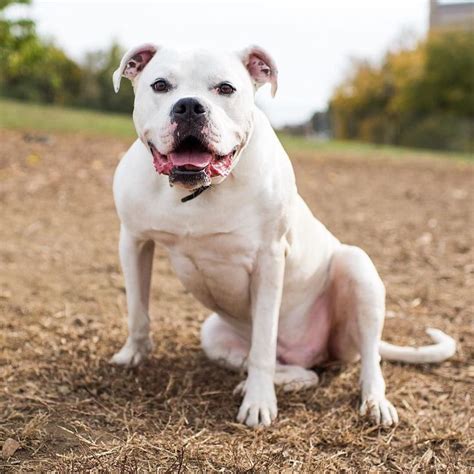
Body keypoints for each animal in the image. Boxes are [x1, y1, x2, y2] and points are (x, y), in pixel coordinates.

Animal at [110, 44, 456, 428]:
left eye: (226, 88)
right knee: (299, 370)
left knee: (367, 359)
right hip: (214, 335)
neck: (197, 191)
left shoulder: (269, 260)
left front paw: (259, 402)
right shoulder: (134, 240)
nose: (188, 106)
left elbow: (263, 342)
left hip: (357, 269)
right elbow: (137, 309)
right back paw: (274, 380)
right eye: (160, 85)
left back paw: (373, 400)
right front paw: (133, 354)